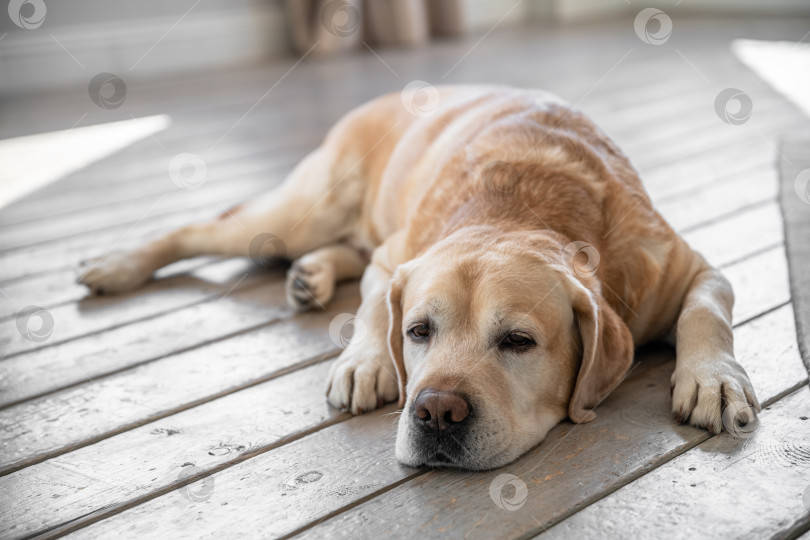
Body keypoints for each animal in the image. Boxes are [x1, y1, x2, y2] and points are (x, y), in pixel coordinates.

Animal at [77, 84, 756, 468]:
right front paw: (366, 360)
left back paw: (310, 275)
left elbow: (707, 312)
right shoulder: (395, 261)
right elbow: (375, 305)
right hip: (301, 210)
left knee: (338, 250)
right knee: (203, 226)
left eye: (518, 342)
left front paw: (714, 380)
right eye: (419, 332)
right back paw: (117, 264)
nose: (435, 413)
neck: (521, 207)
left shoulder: (693, 268)